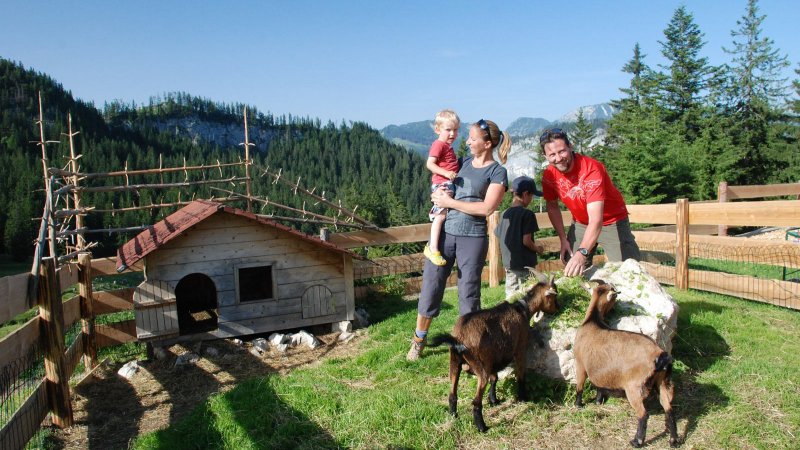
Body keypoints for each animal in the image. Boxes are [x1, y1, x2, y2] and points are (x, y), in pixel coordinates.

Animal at [428, 278, 560, 432]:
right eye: (554, 296)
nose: (558, 308)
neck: (522, 310)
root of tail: (457, 338)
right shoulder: (520, 349)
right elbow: (521, 375)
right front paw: (523, 398)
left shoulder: (492, 359)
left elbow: (494, 378)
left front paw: (494, 400)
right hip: (480, 368)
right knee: (476, 401)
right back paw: (482, 427)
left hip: (454, 362)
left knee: (452, 394)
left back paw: (453, 417)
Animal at [572, 282, 680, 446]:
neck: (593, 321)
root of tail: (659, 354)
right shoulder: (599, 370)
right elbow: (599, 386)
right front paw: (598, 401)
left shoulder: (580, 363)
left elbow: (580, 385)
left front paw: (578, 404)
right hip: (662, 382)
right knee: (669, 409)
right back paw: (673, 440)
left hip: (634, 387)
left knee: (643, 414)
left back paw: (637, 441)